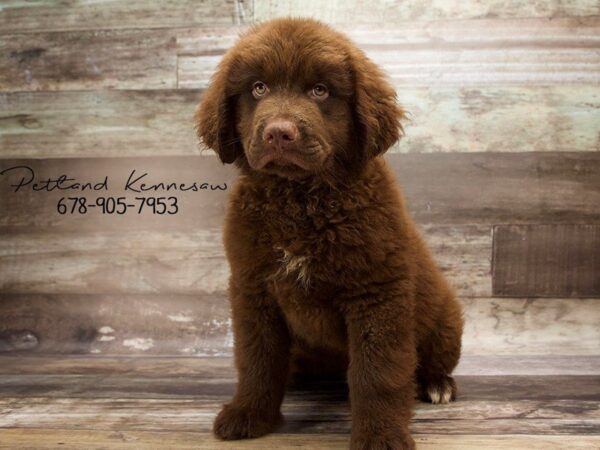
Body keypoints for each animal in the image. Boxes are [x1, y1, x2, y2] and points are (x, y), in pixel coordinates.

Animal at [195, 17, 462, 450]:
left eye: (319, 90)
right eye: (258, 88)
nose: (279, 133)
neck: (300, 202)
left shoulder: (376, 293)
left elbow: (378, 373)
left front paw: (381, 435)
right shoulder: (253, 289)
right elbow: (256, 359)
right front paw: (250, 414)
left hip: (445, 319)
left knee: (431, 359)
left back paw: (438, 384)